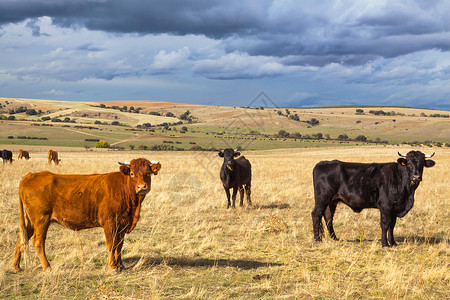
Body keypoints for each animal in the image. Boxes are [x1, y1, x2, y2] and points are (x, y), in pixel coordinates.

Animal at [11, 158, 163, 274]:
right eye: (132, 173)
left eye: (148, 173)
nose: (142, 187)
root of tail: (30, 176)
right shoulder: (109, 222)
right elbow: (111, 244)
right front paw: (113, 267)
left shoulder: (122, 224)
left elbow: (119, 245)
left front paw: (120, 265)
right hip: (41, 219)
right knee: (38, 241)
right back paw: (47, 267)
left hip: (31, 220)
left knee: (21, 237)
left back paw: (16, 266)